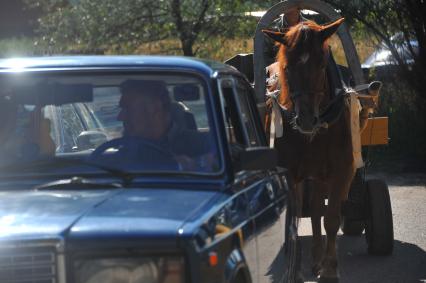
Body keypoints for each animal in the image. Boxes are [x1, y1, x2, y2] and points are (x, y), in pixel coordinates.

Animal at [262, 18, 356, 282]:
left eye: (322, 64)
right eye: (287, 67)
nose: (305, 119)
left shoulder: (340, 170)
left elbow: (331, 218)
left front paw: (330, 269)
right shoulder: (290, 174)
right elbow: (291, 224)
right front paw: (294, 271)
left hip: (321, 173)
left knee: (316, 211)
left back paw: (318, 261)